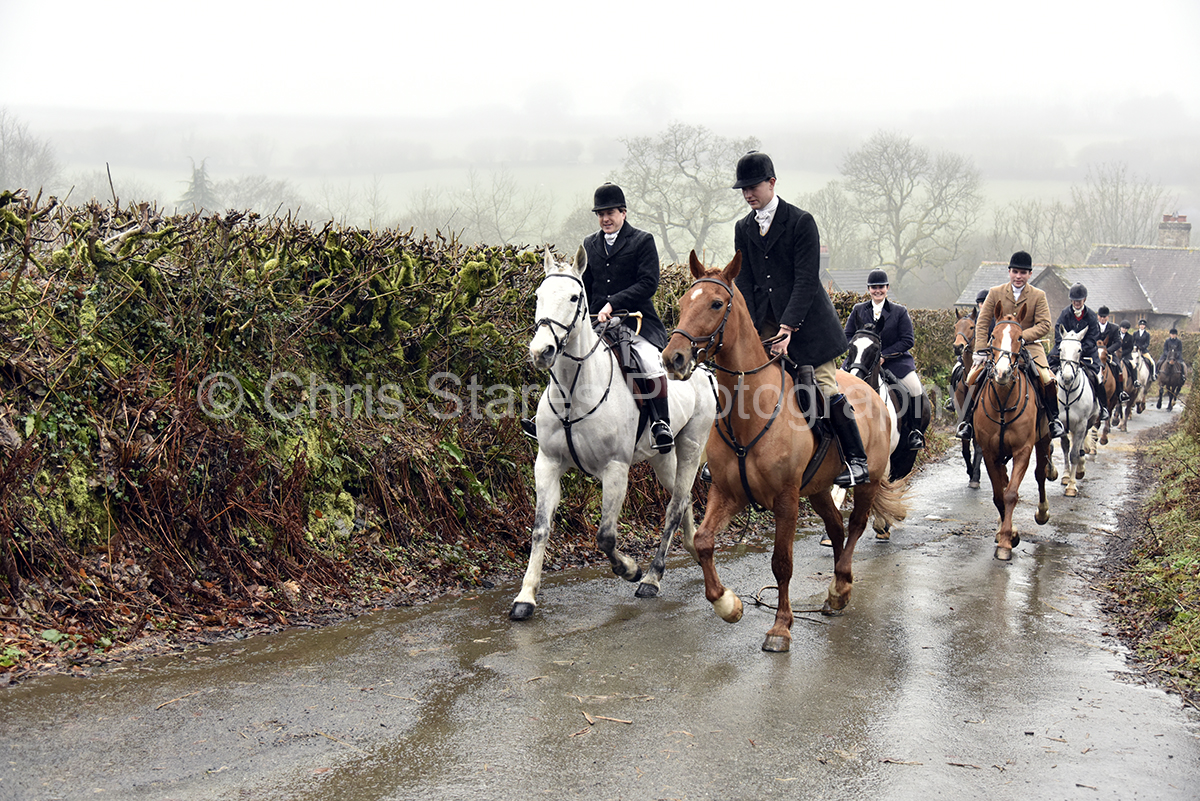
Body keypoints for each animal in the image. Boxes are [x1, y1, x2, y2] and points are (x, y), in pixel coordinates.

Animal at [511, 246, 718, 620]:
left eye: (574, 296)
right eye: (538, 295)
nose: (541, 352)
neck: (574, 391)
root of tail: (702, 369)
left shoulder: (615, 469)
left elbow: (605, 536)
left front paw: (630, 569)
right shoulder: (547, 463)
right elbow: (540, 529)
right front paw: (526, 596)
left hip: (692, 445)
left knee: (675, 505)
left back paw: (651, 578)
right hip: (663, 458)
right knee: (682, 501)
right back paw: (694, 549)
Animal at [661, 251, 907, 653]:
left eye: (716, 304)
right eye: (682, 303)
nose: (674, 359)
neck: (748, 410)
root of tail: (871, 392)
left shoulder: (786, 499)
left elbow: (782, 563)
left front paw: (780, 627)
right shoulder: (726, 492)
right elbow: (703, 542)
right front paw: (728, 604)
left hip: (866, 481)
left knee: (855, 525)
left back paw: (840, 586)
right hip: (819, 488)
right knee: (836, 527)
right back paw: (835, 592)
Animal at [970, 311, 1051, 561]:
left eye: (1019, 338)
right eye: (993, 336)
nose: (1002, 373)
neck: (1004, 400)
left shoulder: (1023, 450)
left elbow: (1011, 494)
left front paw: (1007, 541)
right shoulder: (989, 452)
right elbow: (999, 495)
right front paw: (1008, 533)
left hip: (1043, 439)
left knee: (1040, 474)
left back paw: (1042, 513)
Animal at [1053, 328, 1099, 498]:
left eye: (1079, 350)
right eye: (1060, 348)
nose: (1067, 377)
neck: (1068, 392)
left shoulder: (1080, 425)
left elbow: (1074, 453)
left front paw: (1071, 487)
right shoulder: (1061, 424)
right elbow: (1066, 448)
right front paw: (1066, 477)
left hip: (1089, 422)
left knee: (1080, 446)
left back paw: (1080, 468)